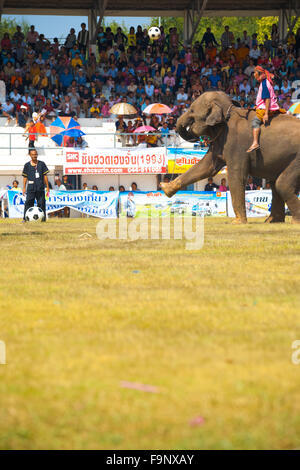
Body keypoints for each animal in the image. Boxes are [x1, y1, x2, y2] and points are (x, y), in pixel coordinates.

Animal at [161, 92, 300, 225]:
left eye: (191, 110)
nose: (197, 139)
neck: (229, 110)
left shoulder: (237, 145)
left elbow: (236, 176)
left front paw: (237, 222)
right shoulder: (220, 141)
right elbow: (207, 168)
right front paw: (165, 188)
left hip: (297, 159)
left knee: (282, 185)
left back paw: (294, 221)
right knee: (275, 185)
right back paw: (272, 221)